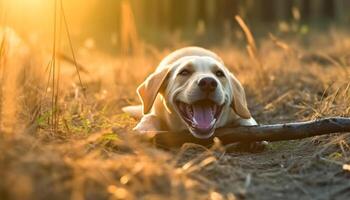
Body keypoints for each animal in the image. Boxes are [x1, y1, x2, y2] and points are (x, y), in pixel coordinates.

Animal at [123, 46, 258, 138]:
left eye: (219, 73)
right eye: (184, 72)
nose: (208, 82)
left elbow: (248, 120)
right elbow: (150, 117)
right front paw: (144, 128)